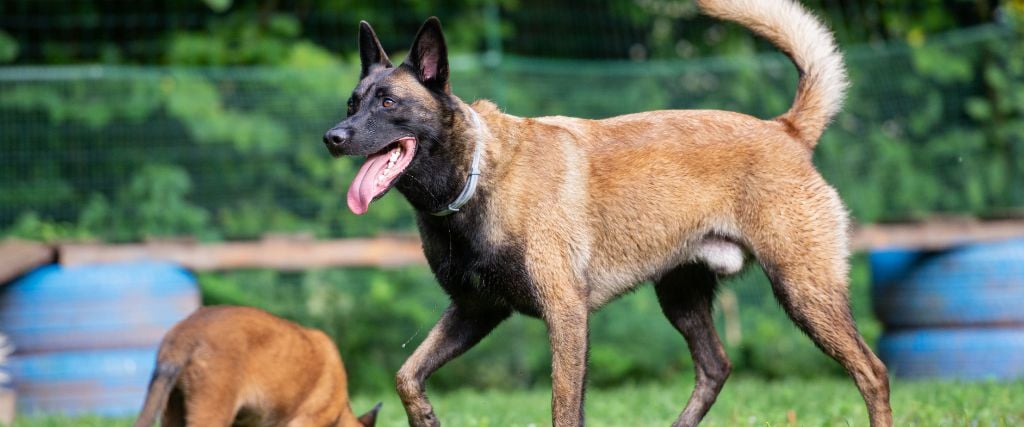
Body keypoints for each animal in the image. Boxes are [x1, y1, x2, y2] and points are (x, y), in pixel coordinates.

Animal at [323, 0, 892, 423]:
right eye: (352, 103)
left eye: (389, 103)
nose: (333, 137)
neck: (478, 174)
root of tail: (786, 130)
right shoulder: (475, 311)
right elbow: (406, 376)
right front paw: (427, 419)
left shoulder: (566, 317)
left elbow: (563, 410)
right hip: (682, 295)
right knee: (716, 368)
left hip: (805, 291)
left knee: (873, 372)